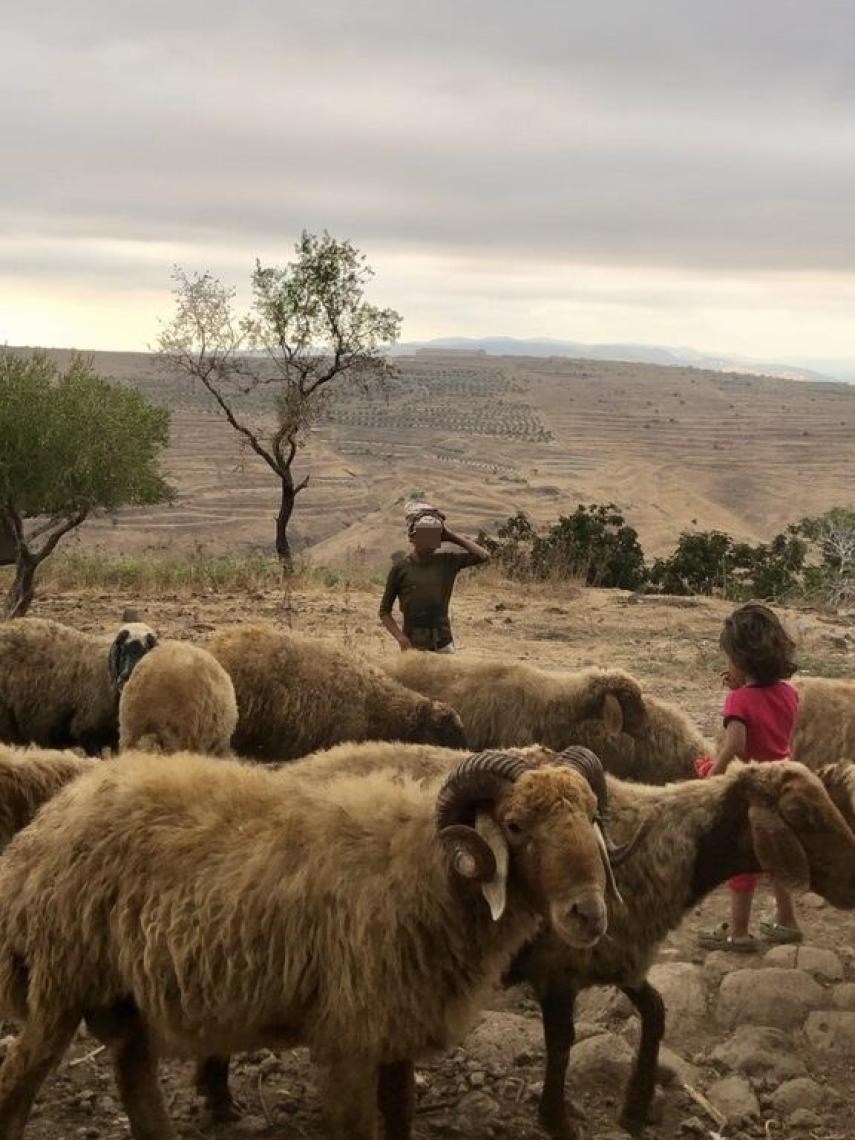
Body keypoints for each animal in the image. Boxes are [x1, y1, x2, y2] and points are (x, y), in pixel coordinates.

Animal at [0, 747, 633, 1140]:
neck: (424, 870)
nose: (588, 913)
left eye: (591, 815)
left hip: (122, 996)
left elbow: (399, 1118)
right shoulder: (347, 1037)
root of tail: (48, 823)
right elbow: (359, 1127)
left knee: (134, 1076)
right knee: (19, 1079)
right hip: (60, 982)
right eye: (516, 824)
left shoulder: (397, 1025)